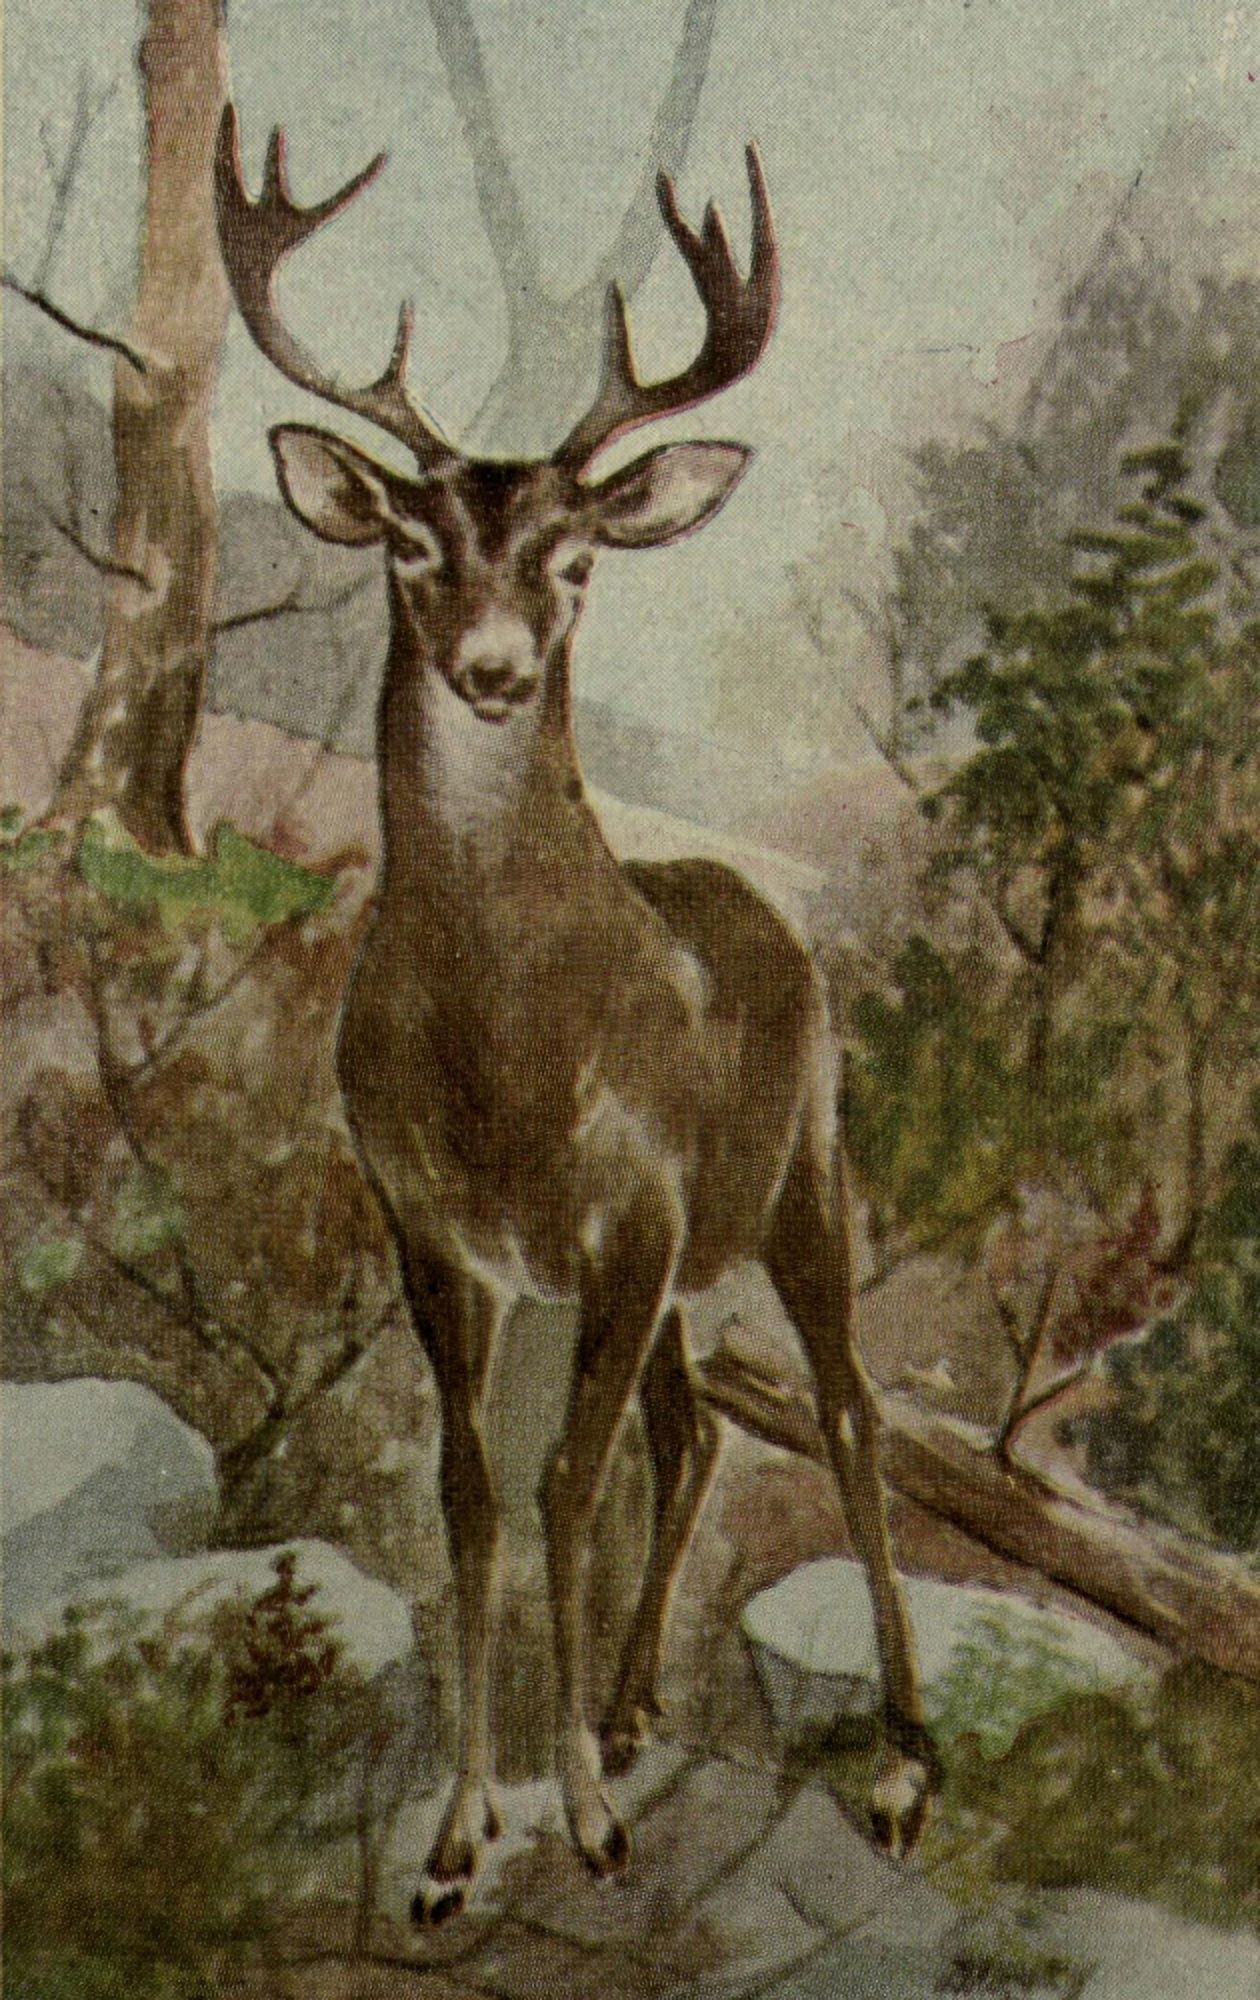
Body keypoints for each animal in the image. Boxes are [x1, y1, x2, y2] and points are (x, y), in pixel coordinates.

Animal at [215, 103, 938, 1922]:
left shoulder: (631, 1214)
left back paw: (901, 1765)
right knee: (691, 1436)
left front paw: (592, 1823)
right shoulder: (432, 1228)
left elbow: (561, 1482)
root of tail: (766, 907)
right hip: (681, 1273)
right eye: (410, 545)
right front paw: (458, 1839)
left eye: (577, 557)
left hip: (800, 1174)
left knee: (848, 1411)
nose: (488, 666)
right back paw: (626, 1699)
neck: (507, 1062)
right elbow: (472, 1494)